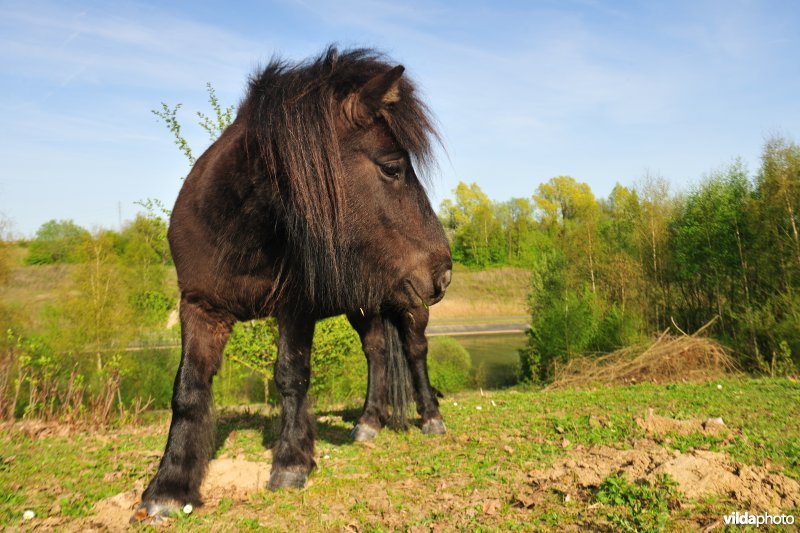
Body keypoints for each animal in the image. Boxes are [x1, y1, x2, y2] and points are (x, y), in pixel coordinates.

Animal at [134, 47, 454, 520]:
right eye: (392, 168)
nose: (443, 269)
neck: (237, 233)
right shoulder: (199, 306)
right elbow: (188, 390)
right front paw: (169, 486)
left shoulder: (294, 308)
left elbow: (291, 376)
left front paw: (291, 463)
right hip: (365, 307)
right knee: (377, 353)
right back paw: (367, 422)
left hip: (411, 305)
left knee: (414, 352)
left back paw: (431, 418)